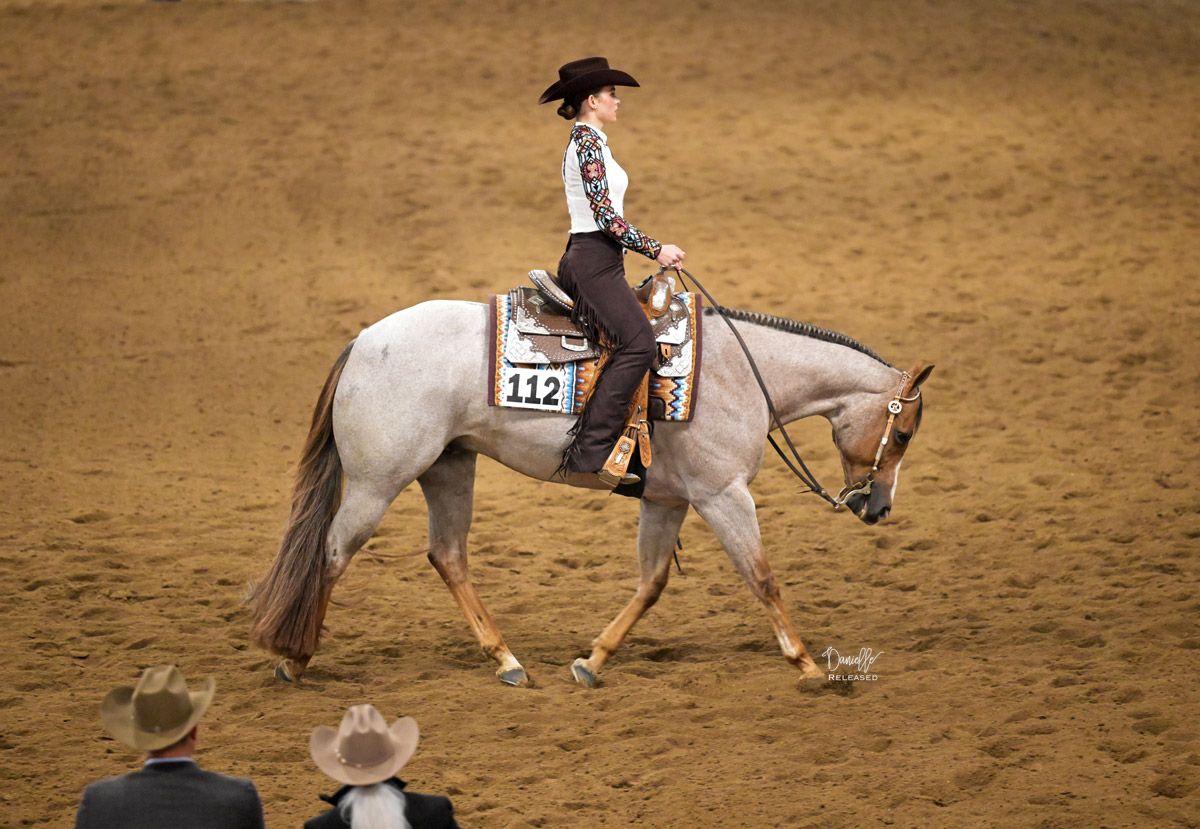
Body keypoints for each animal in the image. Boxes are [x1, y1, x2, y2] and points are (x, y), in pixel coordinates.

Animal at [249, 298, 933, 688]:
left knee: (448, 555)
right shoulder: (723, 495)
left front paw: (593, 661)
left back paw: (507, 661)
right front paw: (808, 665)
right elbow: (762, 577)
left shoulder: (667, 500)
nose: (878, 507)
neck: (742, 373)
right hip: (377, 482)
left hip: (449, 467)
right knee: (332, 553)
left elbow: (651, 583)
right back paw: (296, 657)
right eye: (901, 432)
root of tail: (363, 341)